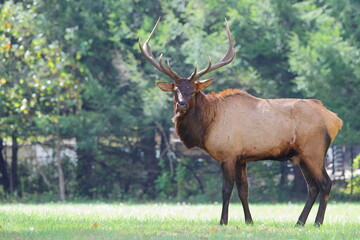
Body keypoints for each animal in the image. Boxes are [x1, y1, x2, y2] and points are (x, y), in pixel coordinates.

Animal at [139, 17, 344, 226]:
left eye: (193, 90)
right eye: (175, 90)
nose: (181, 104)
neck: (207, 125)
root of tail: (335, 120)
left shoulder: (228, 155)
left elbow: (226, 190)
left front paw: (223, 221)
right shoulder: (241, 159)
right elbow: (244, 191)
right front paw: (249, 220)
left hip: (314, 150)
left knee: (325, 183)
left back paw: (317, 222)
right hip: (301, 155)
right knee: (312, 187)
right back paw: (299, 222)